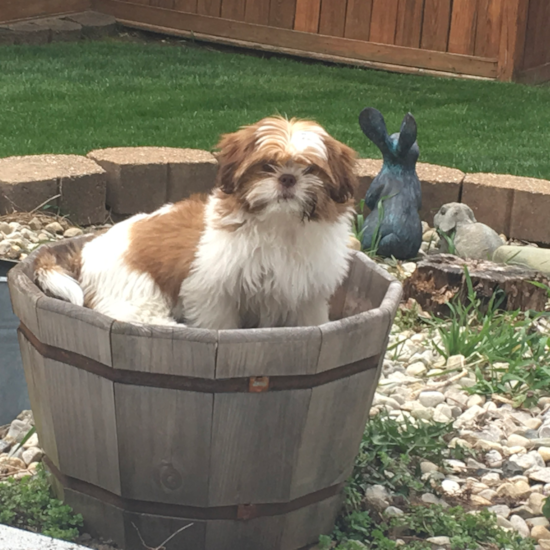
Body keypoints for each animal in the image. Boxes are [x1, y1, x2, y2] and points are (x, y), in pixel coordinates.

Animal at [35, 116, 362, 330]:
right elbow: (220, 323)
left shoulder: (307, 289)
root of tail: (82, 254)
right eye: (266, 166)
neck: (280, 224)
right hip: (133, 289)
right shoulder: (212, 289)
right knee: (137, 316)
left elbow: (310, 319)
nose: (288, 178)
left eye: (311, 169)